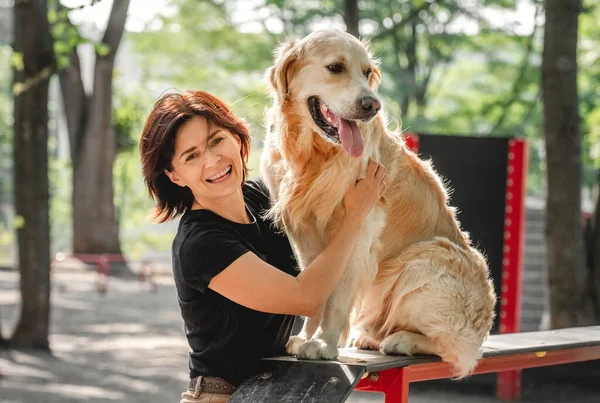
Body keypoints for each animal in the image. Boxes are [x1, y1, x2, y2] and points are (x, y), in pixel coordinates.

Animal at [260, 29, 494, 378]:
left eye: (367, 72)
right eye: (335, 67)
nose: (372, 105)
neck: (315, 156)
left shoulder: (360, 228)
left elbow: (338, 294)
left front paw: (324, 343)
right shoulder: (302, 231)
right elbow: (315, 287)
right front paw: (307, 336)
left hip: (427, 257)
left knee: (457, 350)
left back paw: (402, 340)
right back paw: (369, 337)